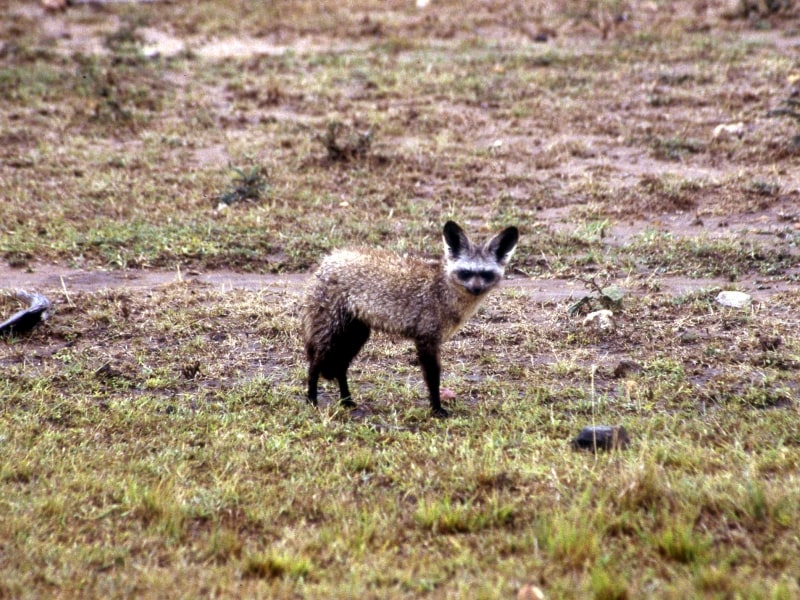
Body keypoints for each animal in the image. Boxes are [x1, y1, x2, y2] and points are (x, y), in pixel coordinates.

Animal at [302, 220, 519, 418]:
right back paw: (312, 399)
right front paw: (436, 408)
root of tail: (329, 259)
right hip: (333, 333)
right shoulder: (426, 339)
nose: (476, 289)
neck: (443, 291)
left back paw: (346, 399)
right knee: (315, 365)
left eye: (486, 274)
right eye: (466, 273)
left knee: (340, 367)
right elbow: (433, 379)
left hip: (355, 336)